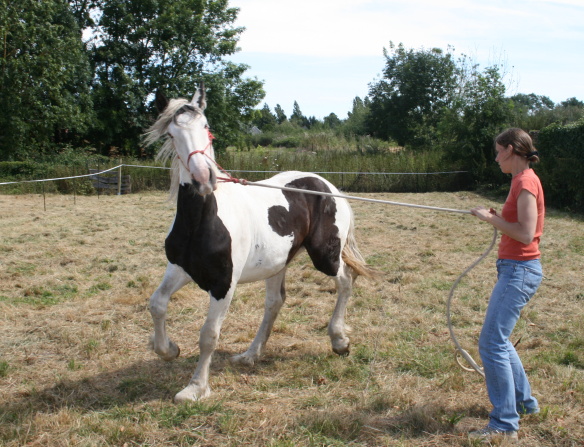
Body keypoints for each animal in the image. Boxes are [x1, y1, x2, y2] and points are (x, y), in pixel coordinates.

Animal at [146, 86, 374, 404]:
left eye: (206, 127)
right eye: (170, 134)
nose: (204, 178)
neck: (203, 221)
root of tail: (327, 185)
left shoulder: (223, 285)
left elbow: (209, 335)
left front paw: (196, 388)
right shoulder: (179, 269)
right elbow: (157, 304)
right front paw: (169, 350)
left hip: (325, 256)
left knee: (345, 280)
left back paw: (339, 340)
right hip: (278, 264)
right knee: (275, 302)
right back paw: (250, 355)